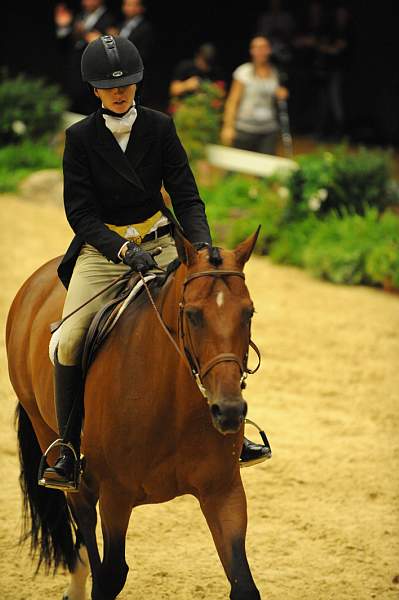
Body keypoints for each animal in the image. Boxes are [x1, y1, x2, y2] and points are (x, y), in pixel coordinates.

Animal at [6, 231, 264, 600]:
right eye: (193, 315)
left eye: (249, 313)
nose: (228, 411)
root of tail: (35, 282)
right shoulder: (116, 495)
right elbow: (110, 576)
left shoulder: (223, 490)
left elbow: (244, 585)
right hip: (53, 443)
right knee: (83, 520)